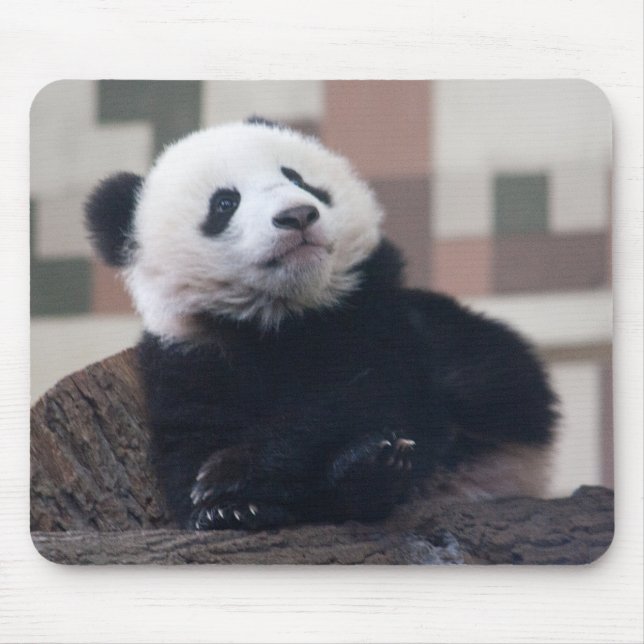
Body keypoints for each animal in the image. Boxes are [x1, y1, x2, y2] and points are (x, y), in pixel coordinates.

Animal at [85, 117, 558, 531]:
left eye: (299, 179)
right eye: (225, 203)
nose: (297, 215)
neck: (284, 315)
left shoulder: (377, 313)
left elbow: (366, 392)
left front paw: (232, 473)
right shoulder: (191, 352)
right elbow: (189, 439)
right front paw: (225, 509)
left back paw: (372, 468)